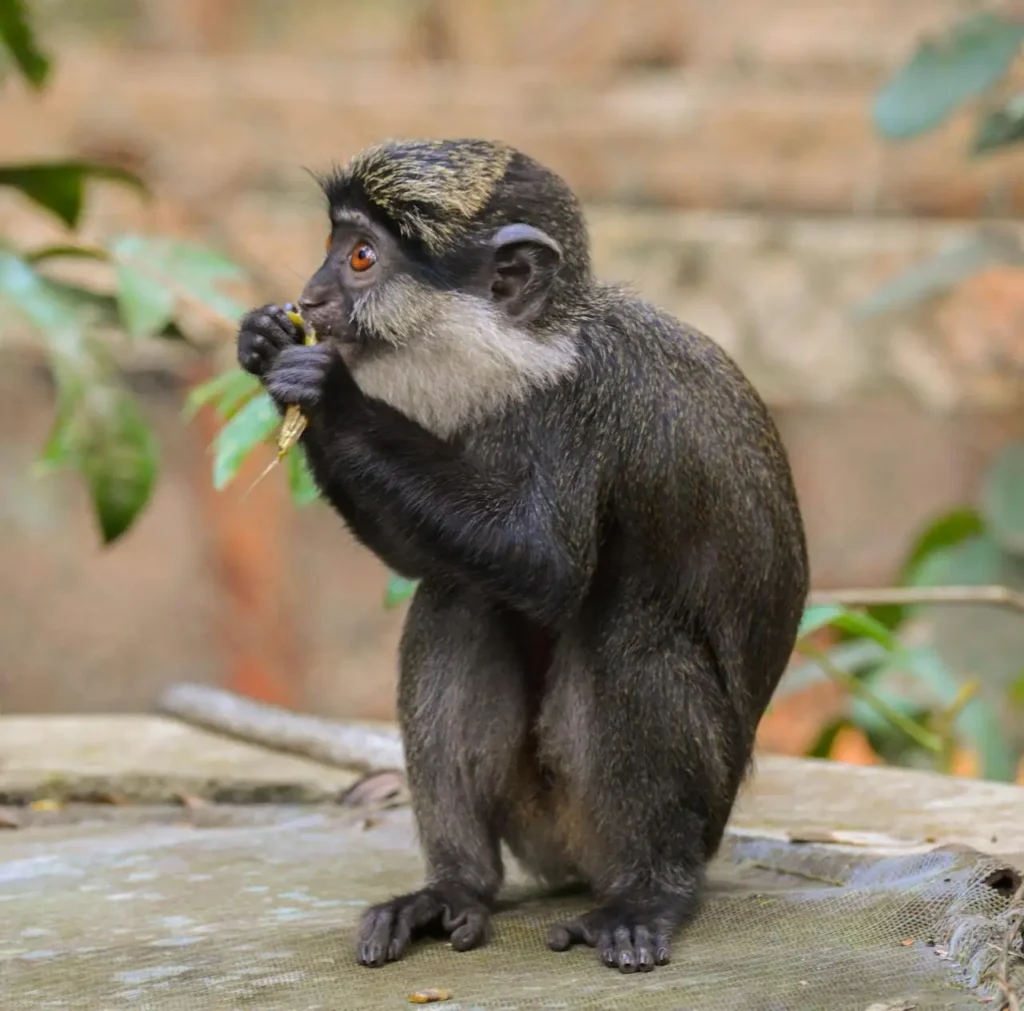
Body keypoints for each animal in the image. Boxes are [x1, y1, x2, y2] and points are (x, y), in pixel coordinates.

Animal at [236, 138, 809, 974]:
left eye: (362, 255)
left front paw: (330, 394)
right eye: (332, 246)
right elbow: (430, 566)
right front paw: (262, 341)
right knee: (456, 593)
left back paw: (649, 894)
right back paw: (455, 886)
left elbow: (544, 565)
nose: (310, 298)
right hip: (533, 814)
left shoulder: (586, 401)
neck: (529, 351)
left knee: (632, 625)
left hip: (641, 813)